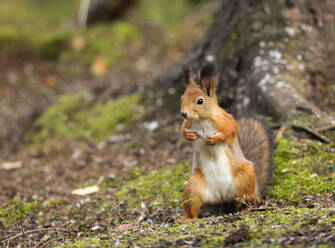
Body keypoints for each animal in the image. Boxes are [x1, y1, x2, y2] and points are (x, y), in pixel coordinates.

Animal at [180, 62, 272, 221]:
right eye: (182, 97)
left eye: (200, 101)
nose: (183, 113)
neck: (201, 120)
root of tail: (222, 195)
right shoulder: (187, 123)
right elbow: (182, 129)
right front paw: (189, 135)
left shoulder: (226, 119)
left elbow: (231, 129)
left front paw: (215, 139)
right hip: (193, 186)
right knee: (193, 207)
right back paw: (187, 218)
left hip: (245, 174)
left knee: (244, 195)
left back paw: (251, 197)